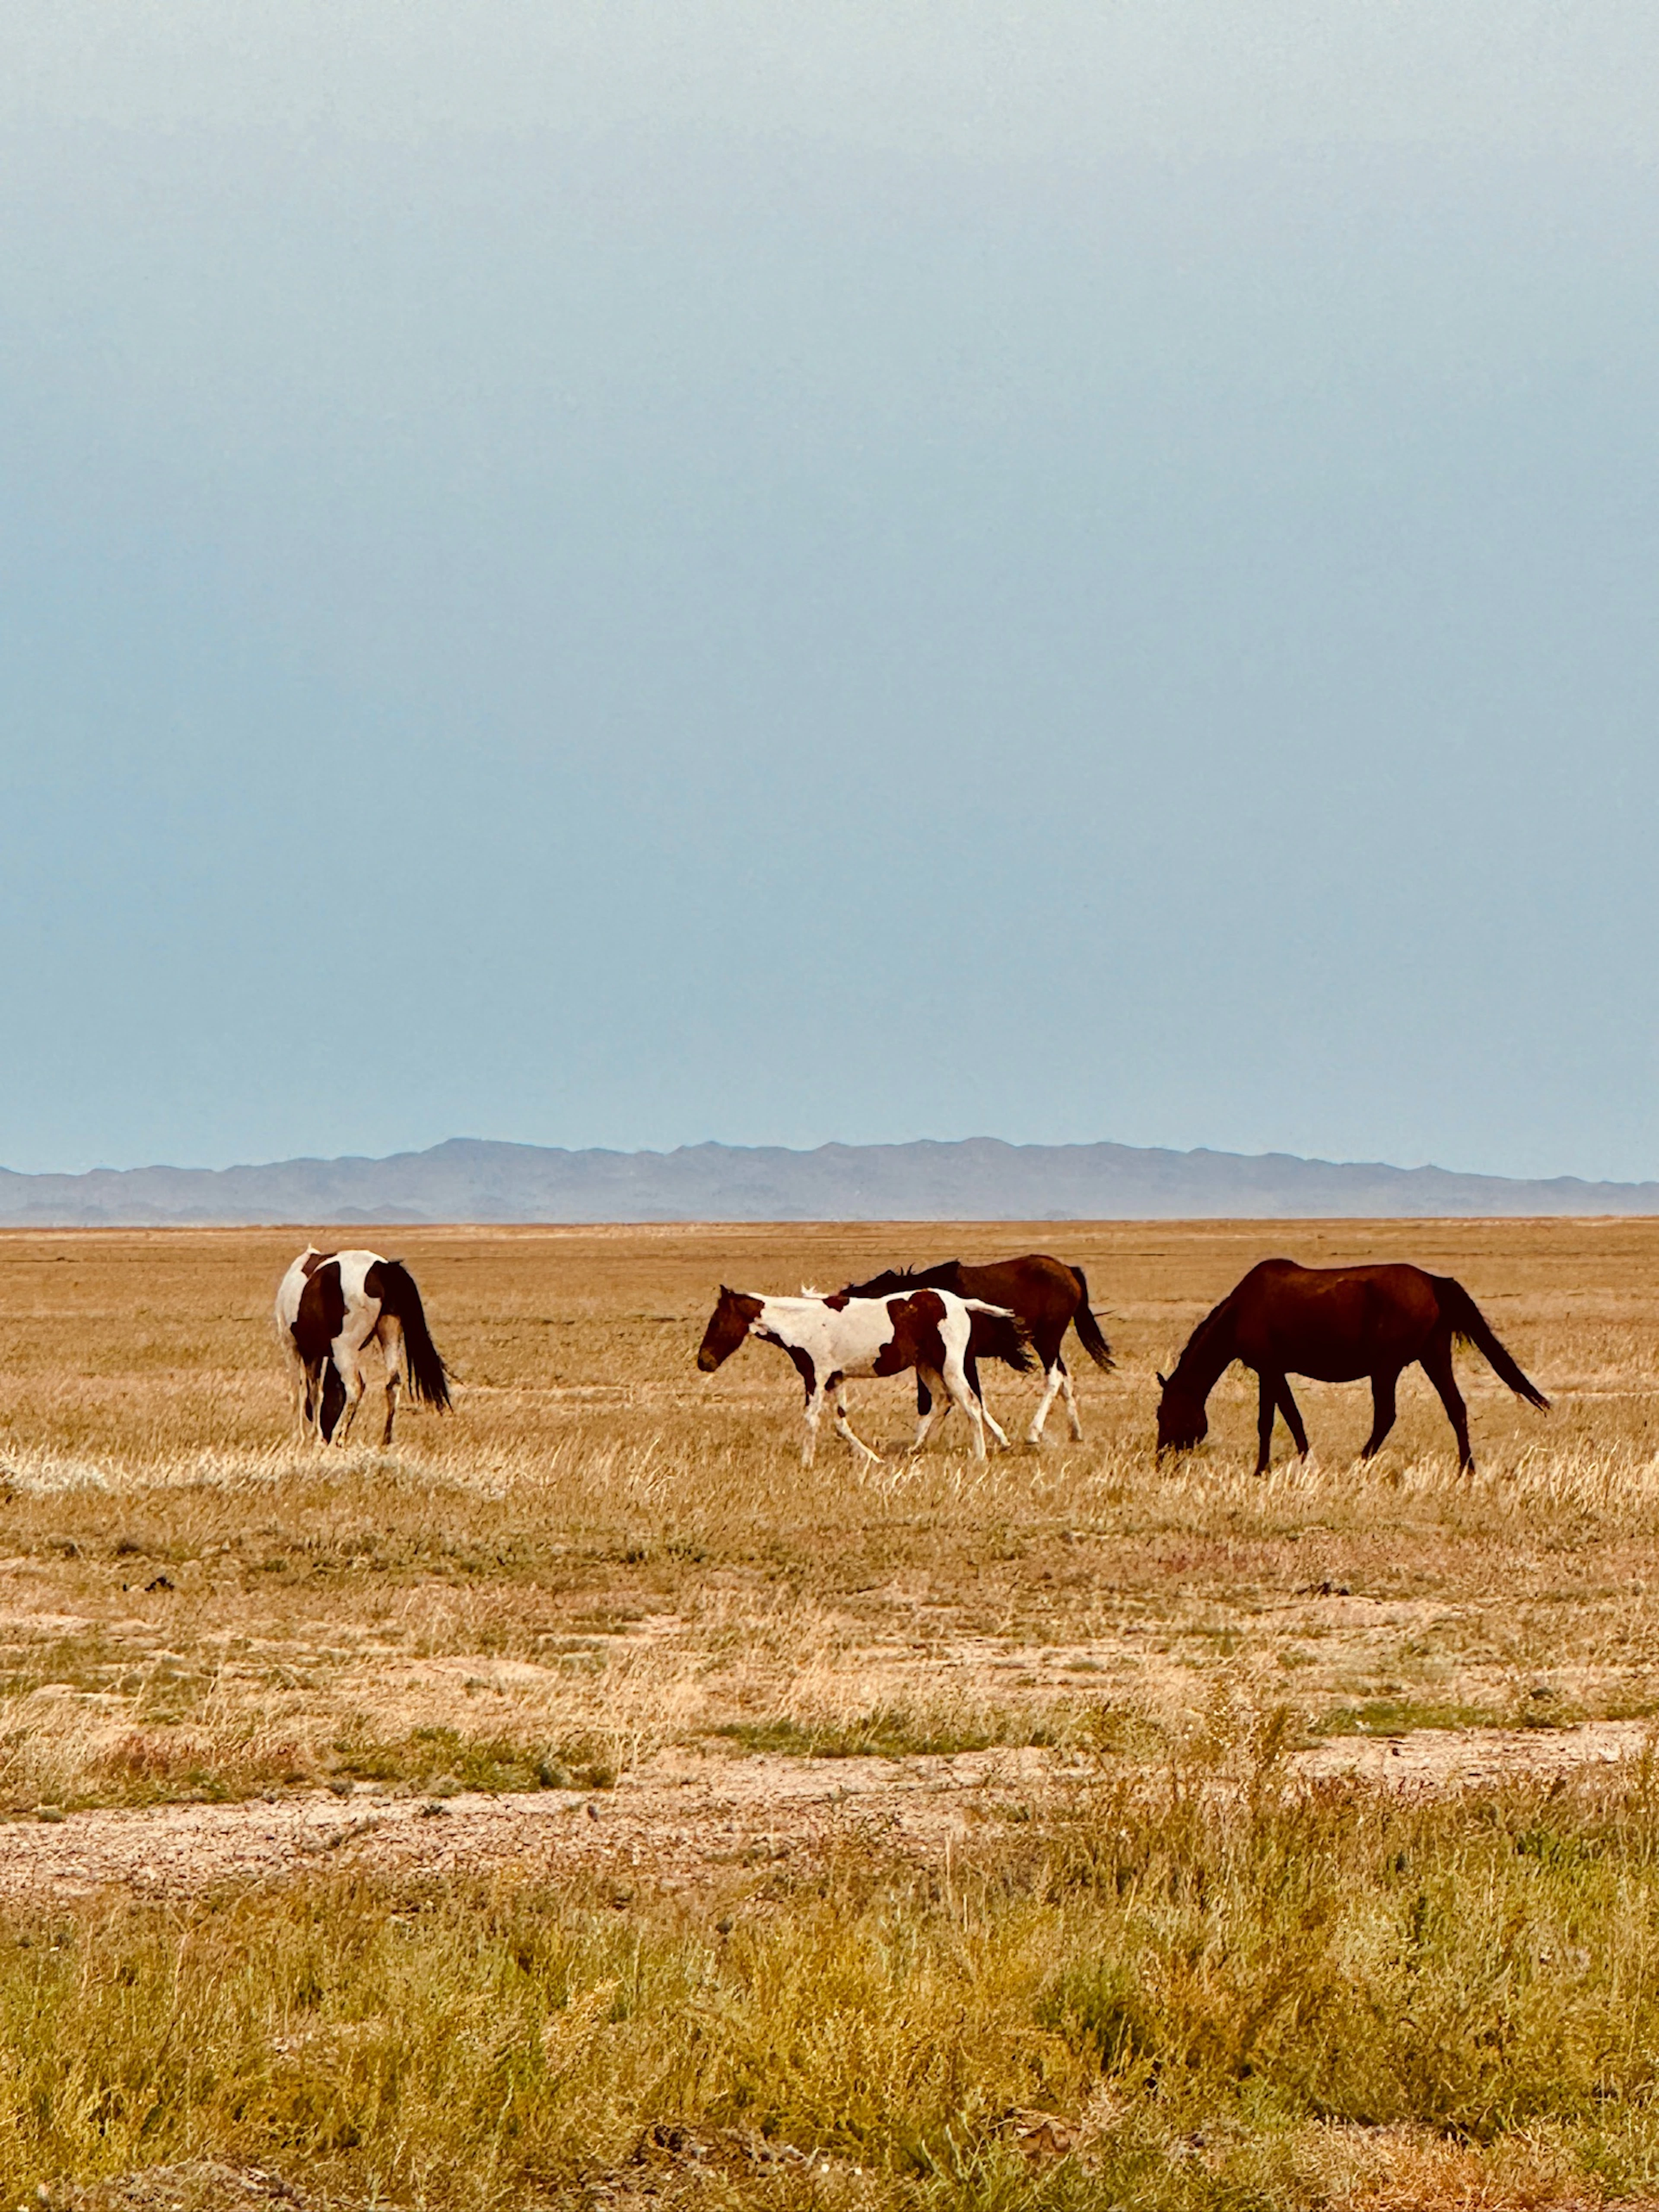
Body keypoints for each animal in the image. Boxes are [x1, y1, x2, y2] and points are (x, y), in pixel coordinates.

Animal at [275, 1247, 452, 1446]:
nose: (325, 1436)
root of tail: (382, 1268)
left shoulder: (291, 1346)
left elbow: (298, 1392)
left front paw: (300, 1437)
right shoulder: (315, 1354)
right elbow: (315, 1392)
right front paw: (314, 1435)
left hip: (343, 1350)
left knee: (355, 1387)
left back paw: (339, 1438)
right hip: (389, 1334)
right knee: (393, 1383)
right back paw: (385, 1440)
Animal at [695, 1285, 1033, 1466]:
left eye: (718, 1321)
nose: (703, 1362)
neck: (803, 1324)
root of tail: (960, 1303)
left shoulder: (816, 1376)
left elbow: (812, 1419)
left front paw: (806, 1462)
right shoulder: (836, 1378)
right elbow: (840, 1423)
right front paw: (873, 1458)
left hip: (949, 1365)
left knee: (970, 1403)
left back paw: (980, 1455)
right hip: (926, 1366)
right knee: (943, 1401)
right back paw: (913, 1449)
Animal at [839, 1255, 1114, 1446]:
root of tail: (1069, 1271)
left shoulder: (963, 1358)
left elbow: (971, 1398)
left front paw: (1000, 1438)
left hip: (1047, 1340)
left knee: (1054, 1379)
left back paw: (1034, 1433)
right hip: (1050, 1344)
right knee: (1066, 1378)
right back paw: (1076, 1432)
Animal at [1154, 1258, 1548, 1474]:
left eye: (1162, 1414)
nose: (1160, 1460)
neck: (1241, 1311)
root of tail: (1433, 1283)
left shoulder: (1269, 1370)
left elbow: (1276, 1420)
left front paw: (1271, 1467)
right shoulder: (1273, 1372)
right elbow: (1285, 1417)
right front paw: (1293, 1462)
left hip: (1386, 1367)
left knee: (1386, 1415)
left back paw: (1359, 1462)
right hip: (1434, 1356)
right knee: (1456, 1408)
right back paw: (1466, 1469)